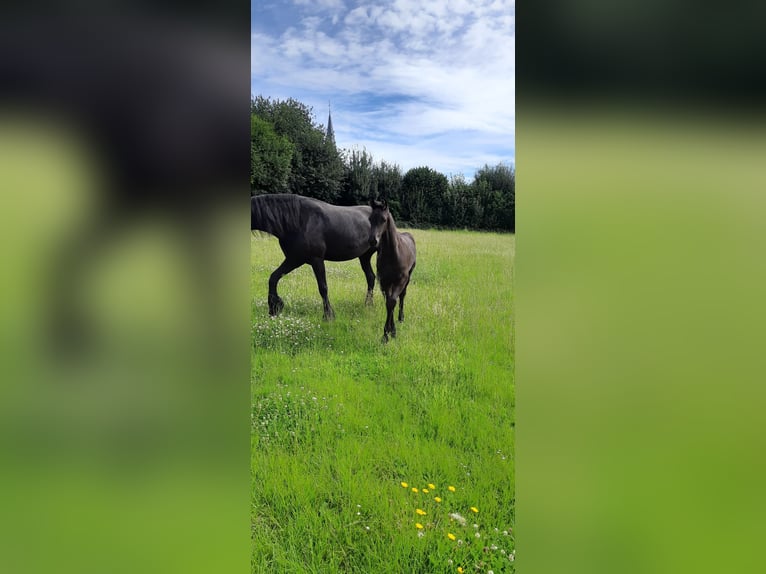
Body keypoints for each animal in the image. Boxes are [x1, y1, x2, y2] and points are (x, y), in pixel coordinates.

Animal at [368, 200, 416, 342]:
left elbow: (393, 301)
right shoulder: (384, 281)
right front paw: (388, 332)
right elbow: (388, 303)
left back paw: (401, 318)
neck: (392, 254)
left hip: (408, 277)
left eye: (384, 219)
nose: (373, 240)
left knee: (402, 296)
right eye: (370, 219)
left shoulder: (400, 280)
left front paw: (389, 333)